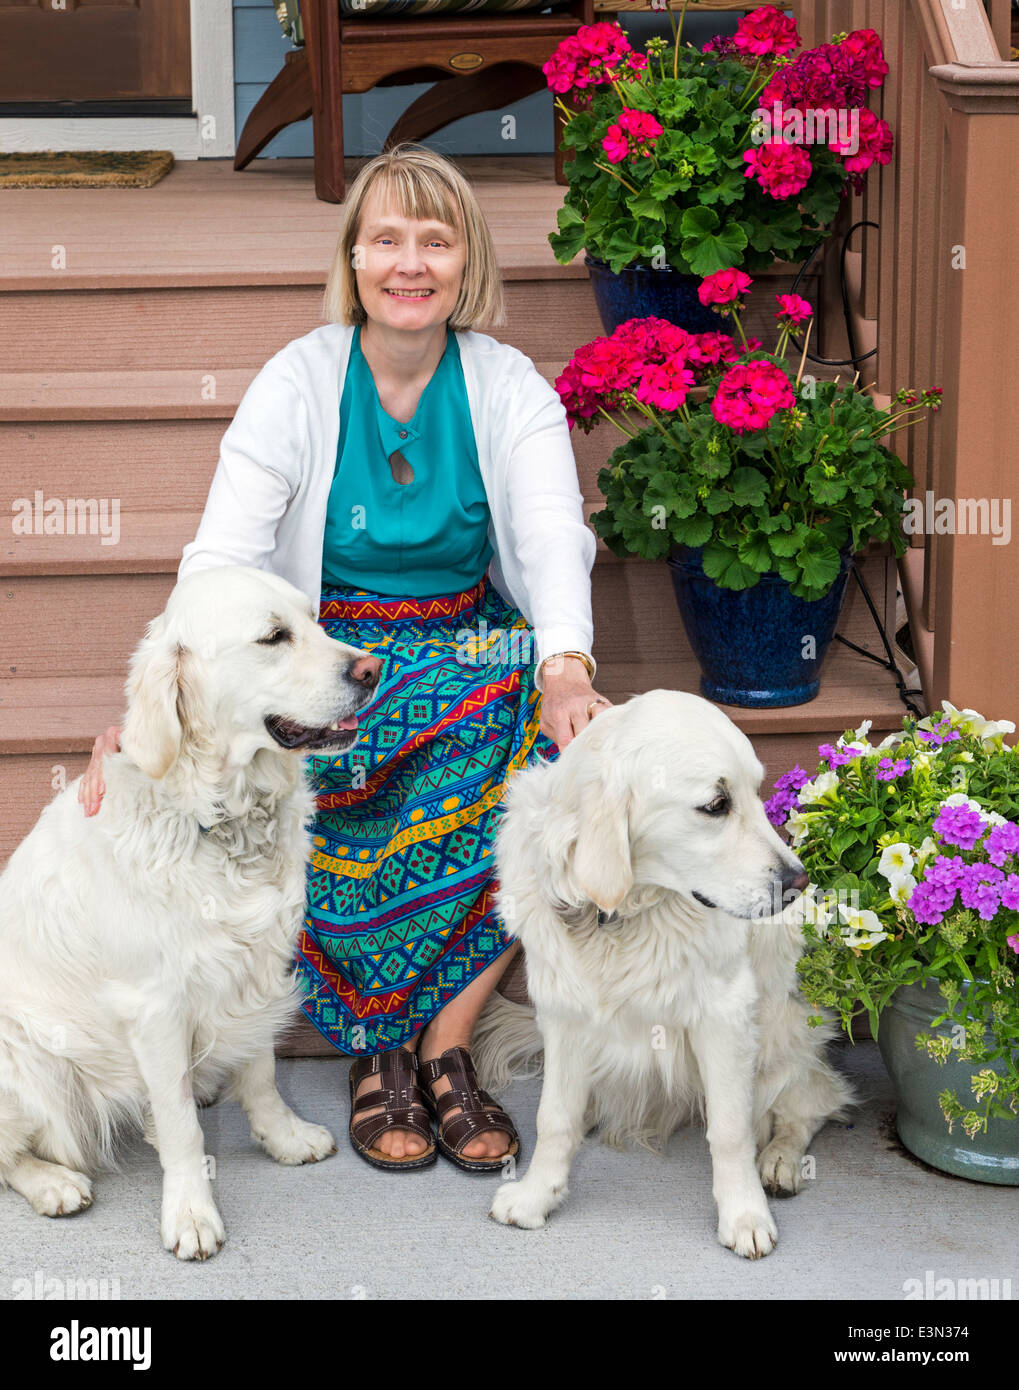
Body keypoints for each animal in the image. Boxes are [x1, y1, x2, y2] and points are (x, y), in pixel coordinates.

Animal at [0, 561, 378, 1262]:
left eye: (313, 620)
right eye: (273, 637)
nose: (370, 670)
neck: (222, 819)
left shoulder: (258, 968)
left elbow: (261, 1071)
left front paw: (282, 1137)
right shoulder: (154, 1005)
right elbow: (179, 1129)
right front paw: (191, 1213)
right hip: (25, 1054)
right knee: (10, 1153)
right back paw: (53, 1183)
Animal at [478, 692, 850, 1262]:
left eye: (756, 792)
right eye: (716, 805)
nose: (798, 882)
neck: (617, 915)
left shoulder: (725, 1013)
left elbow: (731, 1131)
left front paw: (744, 1216)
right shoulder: (563, 1011)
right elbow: (554, 1118)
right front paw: (537, 1196)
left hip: (786, 1037)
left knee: (809, 1103)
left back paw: (781, 1159)